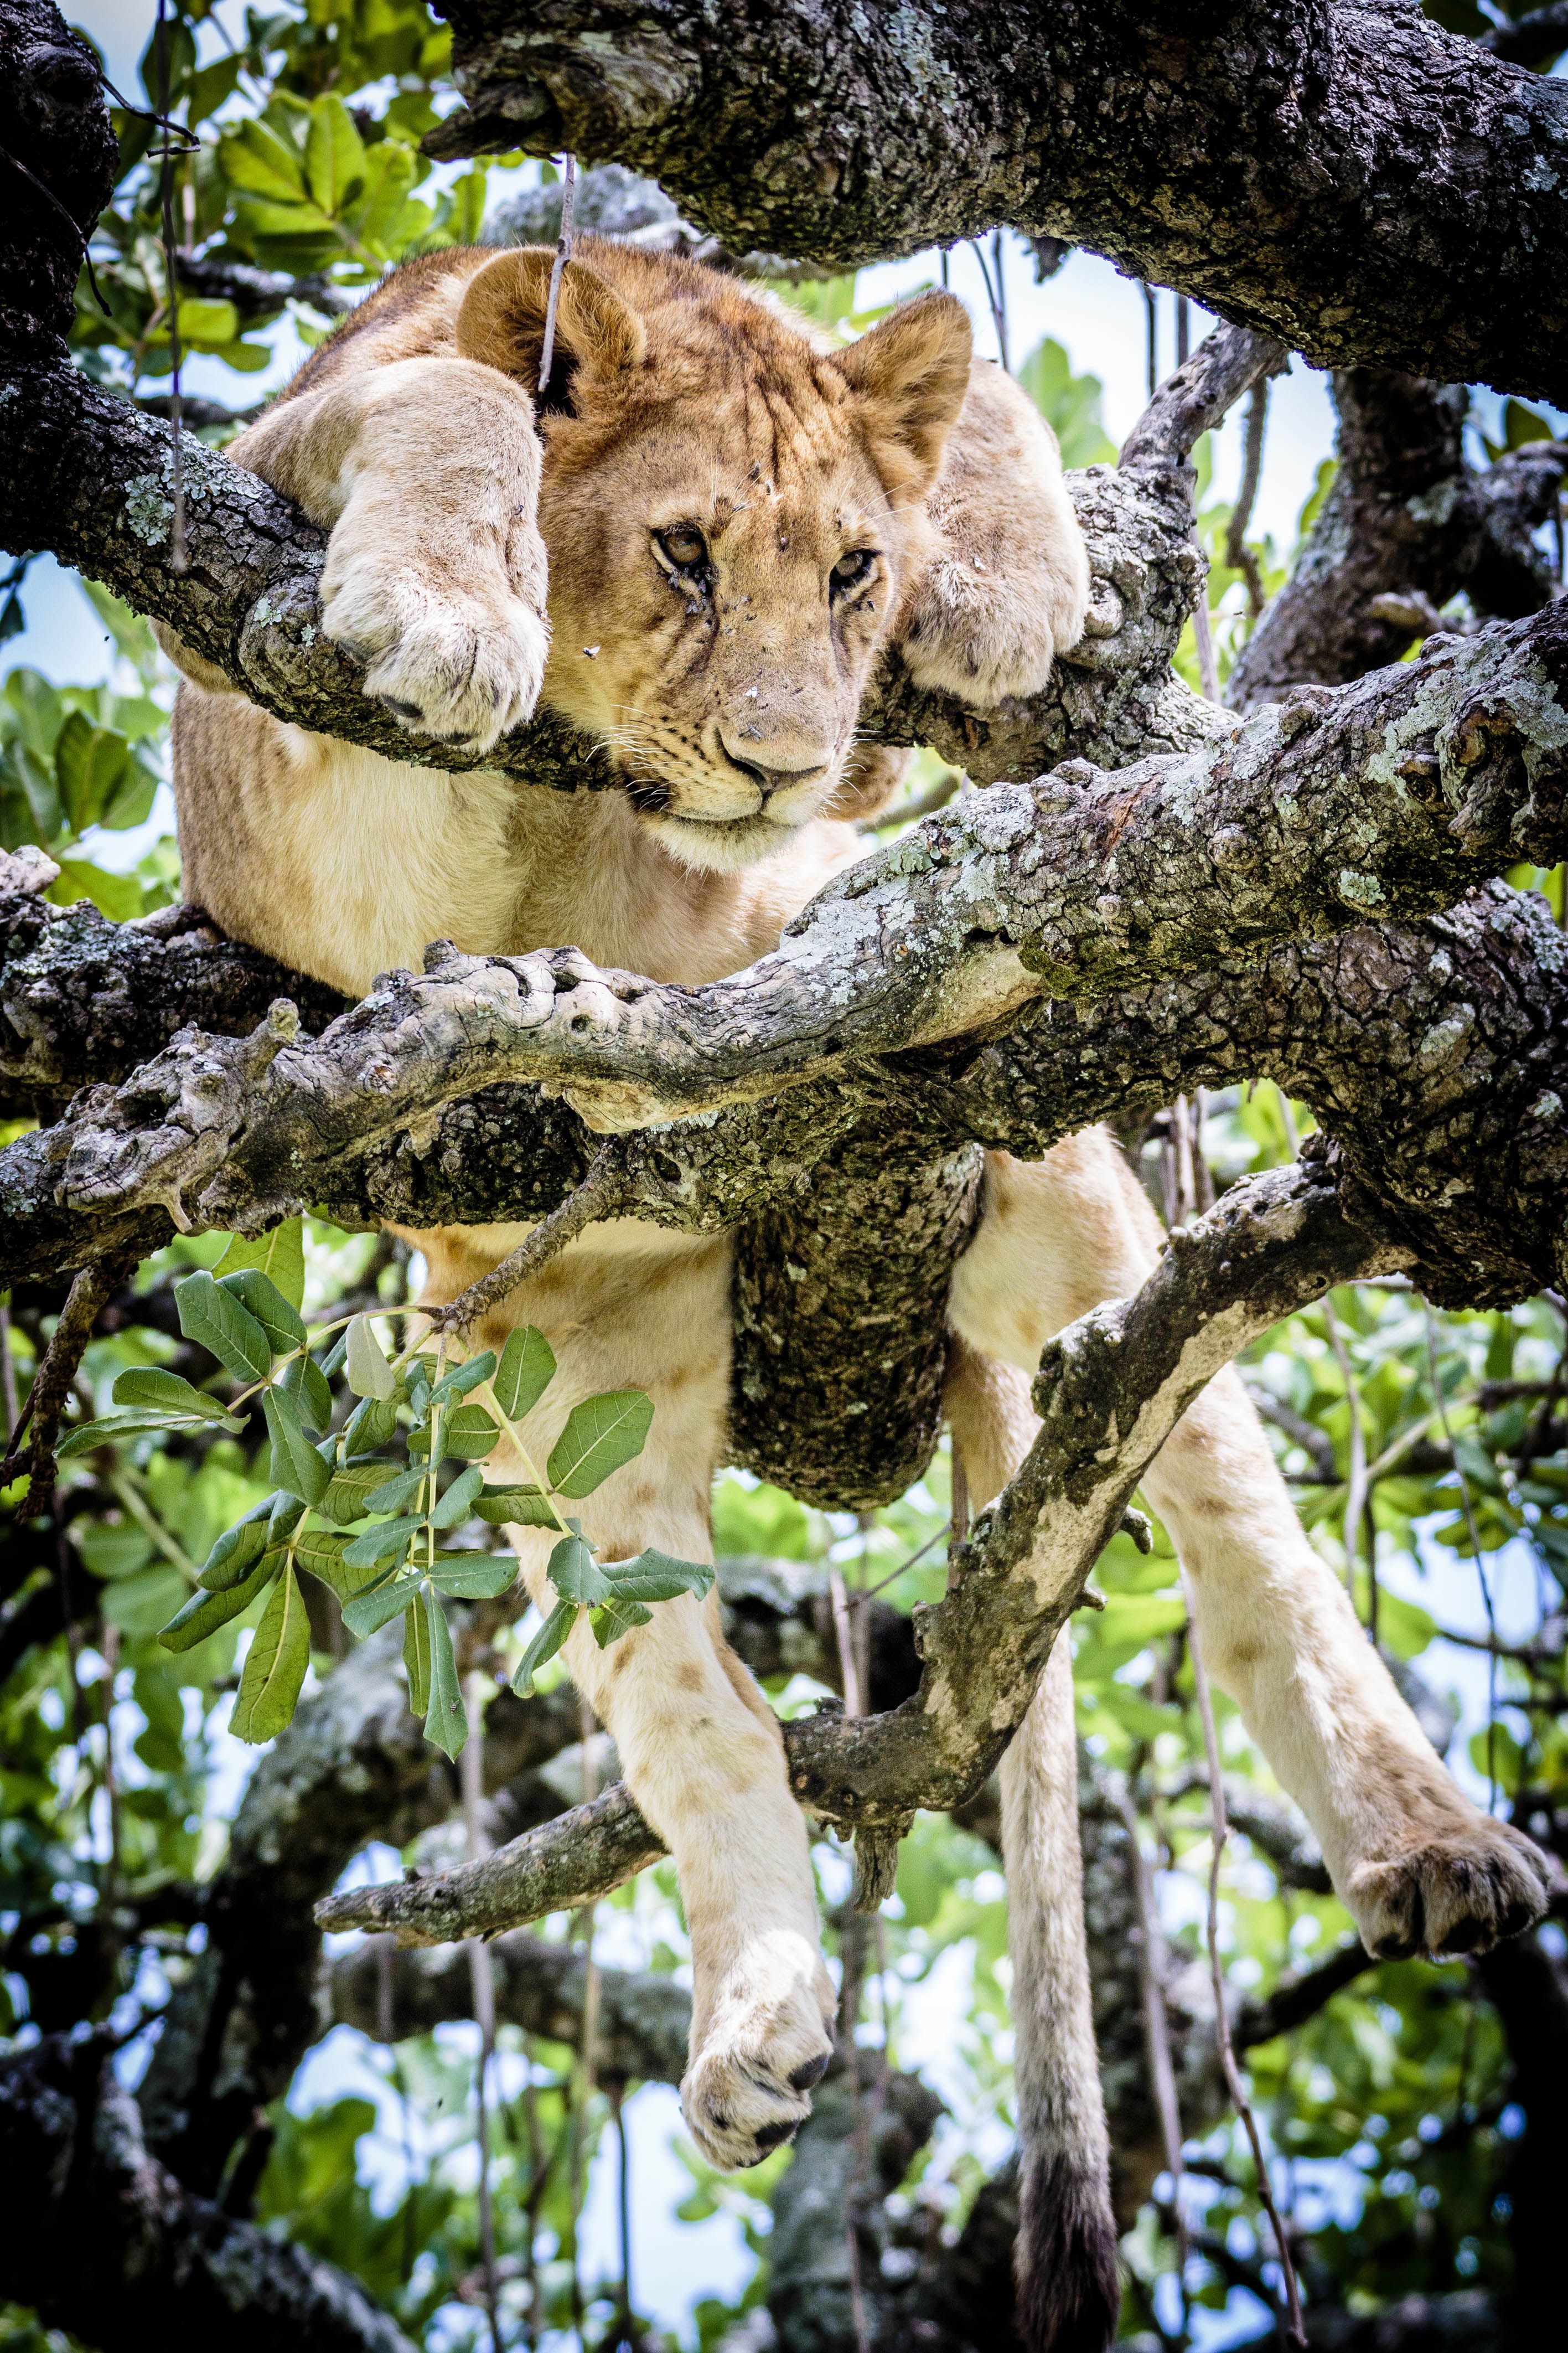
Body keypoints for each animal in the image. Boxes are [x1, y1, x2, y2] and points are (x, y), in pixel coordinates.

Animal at [162, 239, 1542, 2353]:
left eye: (847, 577)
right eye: (680, 557)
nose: (786, 766)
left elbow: (958, 391)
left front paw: (1007, 587)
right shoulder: (273, 653)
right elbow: (448, 405)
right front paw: (449, 609)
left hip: (1066, 1214)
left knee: (1227, 1509)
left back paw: (1429, 1842)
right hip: (571, 1401)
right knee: (693, 1702)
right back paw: (756, 2028)